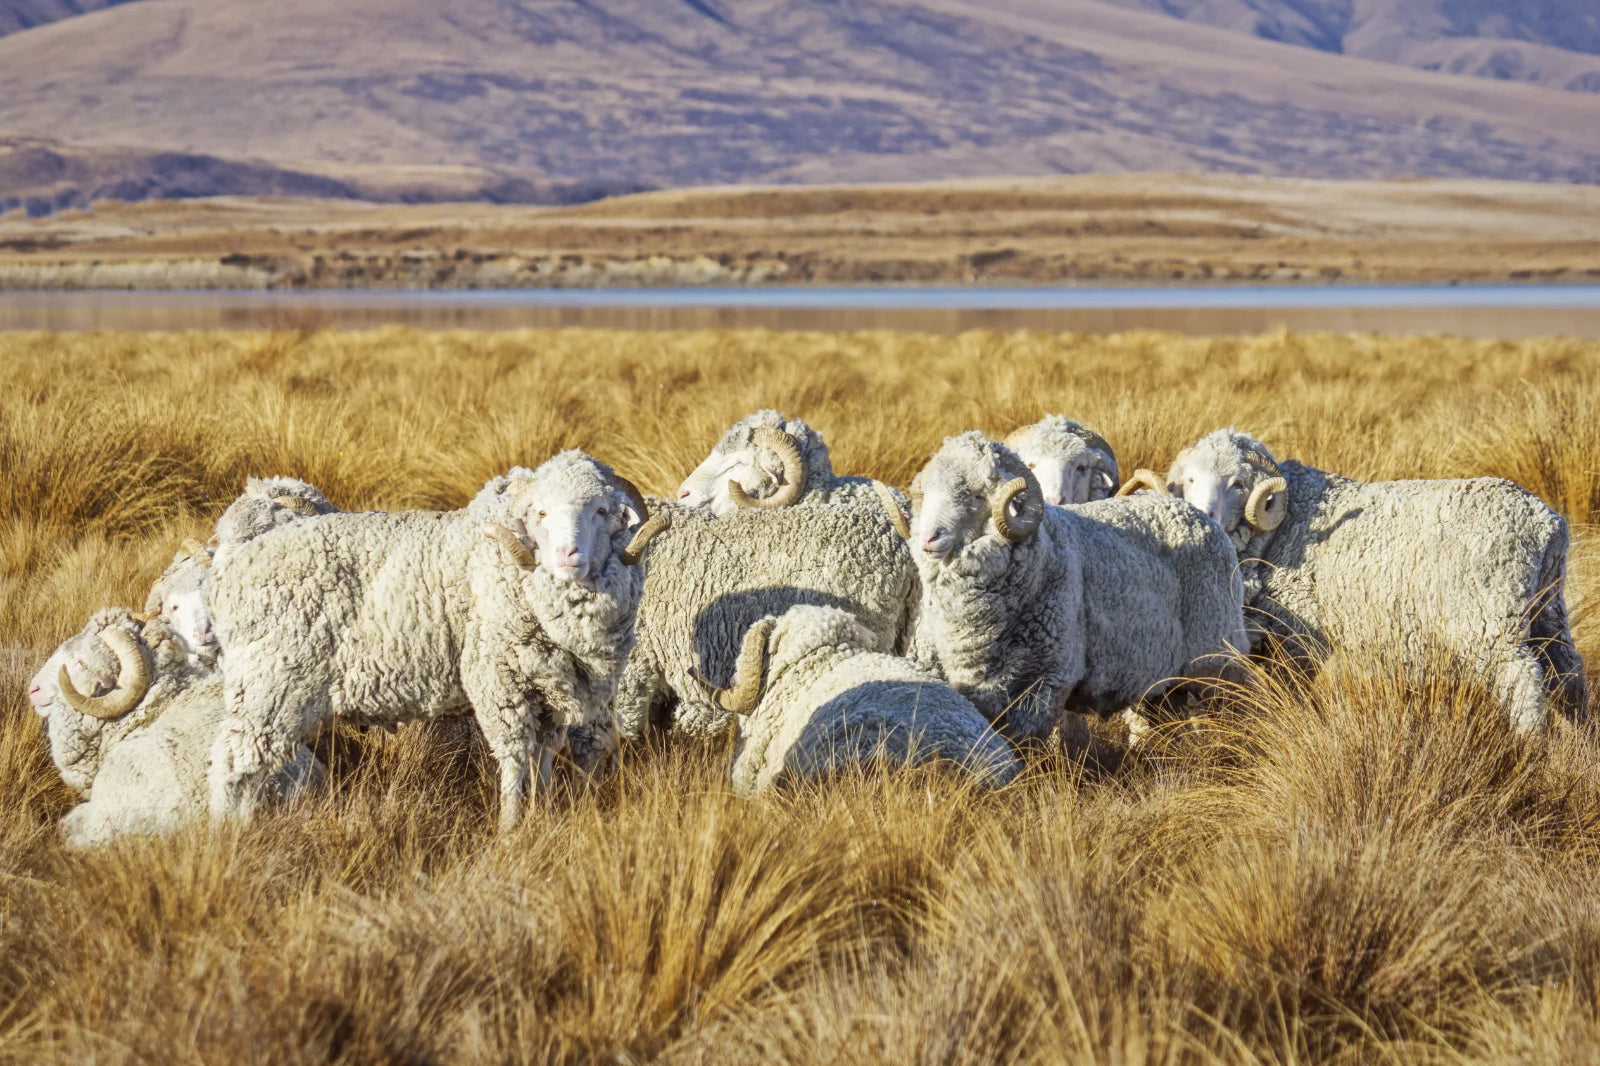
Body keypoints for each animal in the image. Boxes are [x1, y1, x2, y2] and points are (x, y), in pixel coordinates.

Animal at [205, 451, 670, 830]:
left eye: (601, 510)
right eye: (540, 512)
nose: (567, 555)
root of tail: (234, 564)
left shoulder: (551, 694)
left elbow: (543, 757)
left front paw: (544, 812)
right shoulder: (499, 683)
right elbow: (515, 757)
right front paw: (510, 829)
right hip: (271, 684)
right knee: (233, 766)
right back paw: (227, 839)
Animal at [909, 432, 1248, 740]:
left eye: (978, 496)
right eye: (926, 494)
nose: (929, 538)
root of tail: (1196, 513)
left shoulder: (1047, 682)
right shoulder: (979, 689)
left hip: (1218, 660)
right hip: (1162, 682)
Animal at [1132, 428, 1588, 731]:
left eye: (1238, 483)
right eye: (1190, 479)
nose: (1204, 514)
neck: (1285, 525)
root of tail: (1546, 521)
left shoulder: (1298, 635)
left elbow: (1293, 691)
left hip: (1489, 619)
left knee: (1523, 678)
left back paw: (1528, 744)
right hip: (1547, 609)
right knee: (1568, 671)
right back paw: (1579, 736)